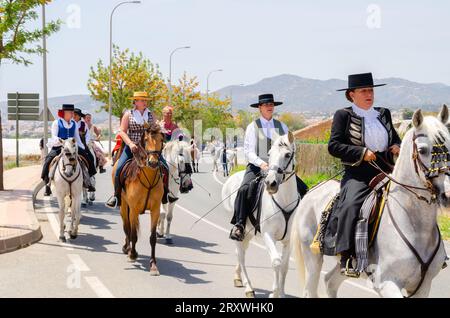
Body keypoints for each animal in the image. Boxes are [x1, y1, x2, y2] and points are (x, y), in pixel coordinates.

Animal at [112, 124, 165, 276]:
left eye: (161, 139)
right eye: (146, 139)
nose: (153, 162)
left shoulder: (155, 210)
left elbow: (153, 238)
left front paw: (153, 265)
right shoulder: (134, 209)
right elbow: (133, 233)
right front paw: (133, 254)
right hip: (124, 207)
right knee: (127, 227)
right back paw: (127, 248)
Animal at [221, 132, 298, 298]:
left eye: (287, 154)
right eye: (269, 154)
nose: (271, 183)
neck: (284, 199)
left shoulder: (288, 240)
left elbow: (285, 266)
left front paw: (281, 293)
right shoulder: (268, 235)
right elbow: (276, 262)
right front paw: (274, 293)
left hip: (249, 233)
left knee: (241, 253)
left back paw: (238, 278)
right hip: (240, 230)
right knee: (241, 255)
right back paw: (248, 287)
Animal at [292, 105, 450, 298]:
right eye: (422, 150)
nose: (448, 194)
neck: (417, 227)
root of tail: (312, 191)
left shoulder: (423, 286)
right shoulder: (387, 283)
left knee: (330, 281)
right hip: (312, 257)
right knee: (311, 288)